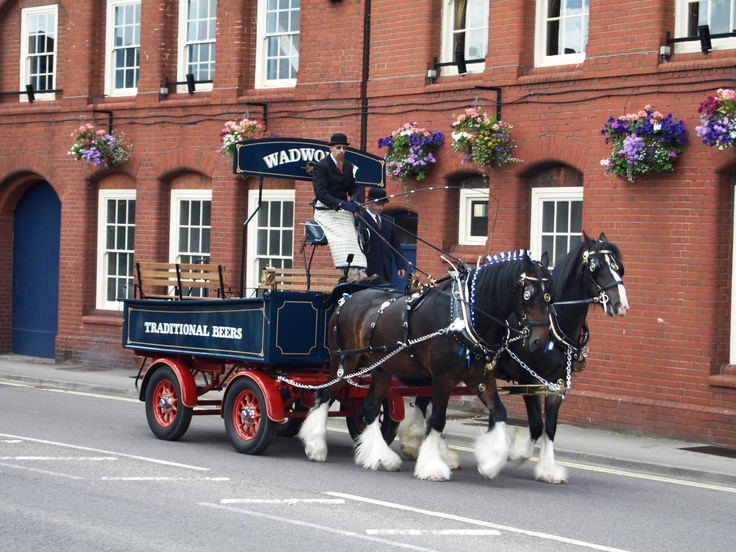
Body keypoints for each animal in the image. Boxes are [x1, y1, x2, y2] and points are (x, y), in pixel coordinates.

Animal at [300, 252, 552, 480]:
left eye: (549, 296)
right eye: (528, 294)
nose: (540, 341)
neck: (465, 317)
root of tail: (345, 299)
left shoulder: (479, 378)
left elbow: (499, 412)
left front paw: (490, 462)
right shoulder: (443, 378)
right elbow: (437, 419)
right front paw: (432, 467)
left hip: (382, 368)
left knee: (369, 408)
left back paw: (381, 457)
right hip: (344, 361)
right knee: (325, 396)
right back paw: (315, 446)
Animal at [400, 233, 628, 484]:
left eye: (618, 267)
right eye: (595, 267)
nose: (621, 305)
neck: (554, 323)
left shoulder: (556, 384)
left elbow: (550, 427)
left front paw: (547, 468)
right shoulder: (528, 379)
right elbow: (536, 425)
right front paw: (516, 453)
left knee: (425, 403)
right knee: (426, 406)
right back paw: (421, 446)